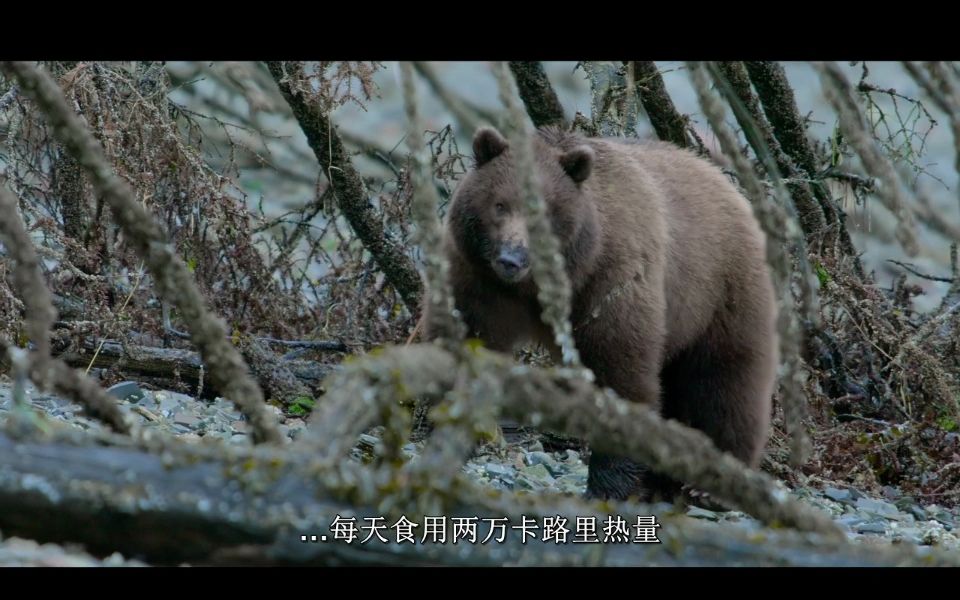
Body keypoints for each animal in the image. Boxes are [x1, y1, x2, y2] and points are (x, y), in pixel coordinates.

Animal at [428, 124, 780, 500]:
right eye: (499, 204)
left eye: (545, 212)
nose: (511, 258)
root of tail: (730, 186)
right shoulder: (480, 278)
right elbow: (469, 334)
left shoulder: (611, 279)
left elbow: (620, 369)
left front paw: (609, 482)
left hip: (722, 293)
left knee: (726, 381)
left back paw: (713, 483)